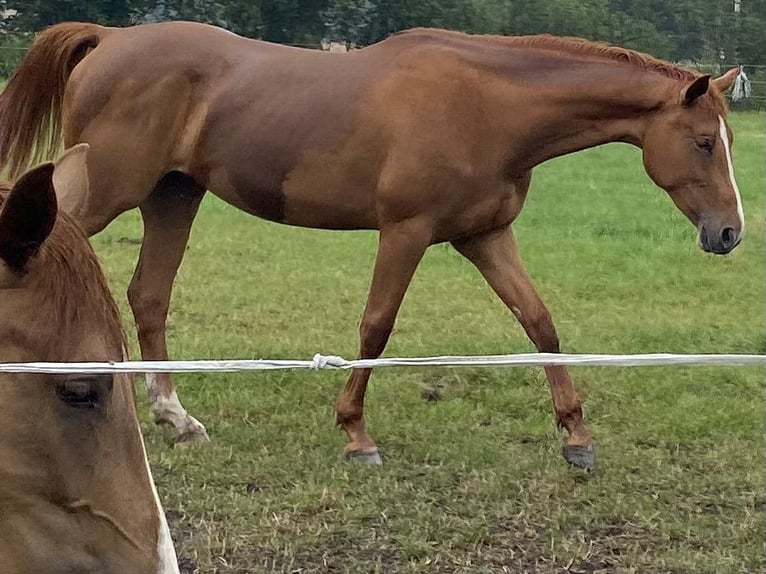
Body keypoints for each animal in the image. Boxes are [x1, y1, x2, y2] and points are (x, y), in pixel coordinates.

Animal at [0, 23, 744, 472]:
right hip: (101, 197)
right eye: (705, 142)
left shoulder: (484, 235)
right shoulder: (406, 232)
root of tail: (111, 39)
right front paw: (357, 435)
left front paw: (577, 436)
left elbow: (539, 322)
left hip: (172, 196)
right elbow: (376, 328)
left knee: (149, 296)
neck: (487, 106)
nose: (730, 232)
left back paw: (176, 418)